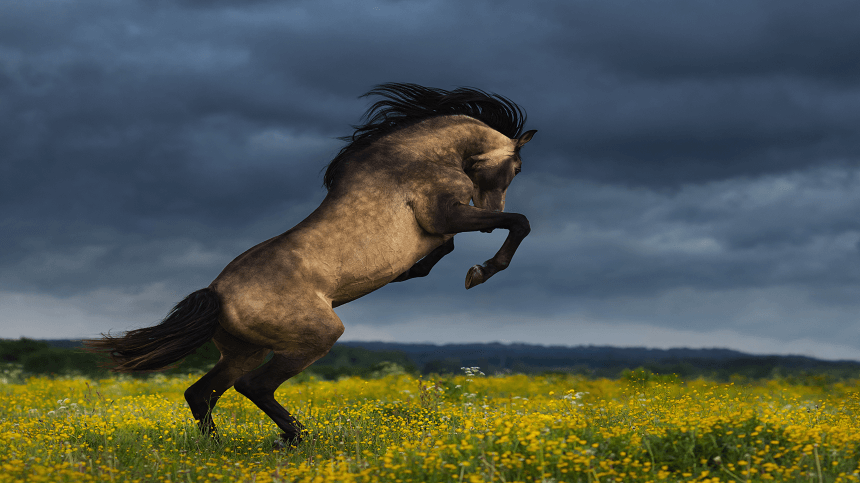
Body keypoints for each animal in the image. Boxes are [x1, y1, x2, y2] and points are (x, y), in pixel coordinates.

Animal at [82, 82, 536, 446]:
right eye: (516, 167)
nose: (491, 208)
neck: (418, 158)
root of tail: (216, 293)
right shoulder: (445, 215)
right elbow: (517, 224)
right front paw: (481, 272)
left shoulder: (441, 227)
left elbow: (448, 249)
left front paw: (421, 272)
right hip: (314, 337)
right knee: (254, 386)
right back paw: (296, 438)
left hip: (244, 350)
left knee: (203, 392)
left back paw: (220, 446)